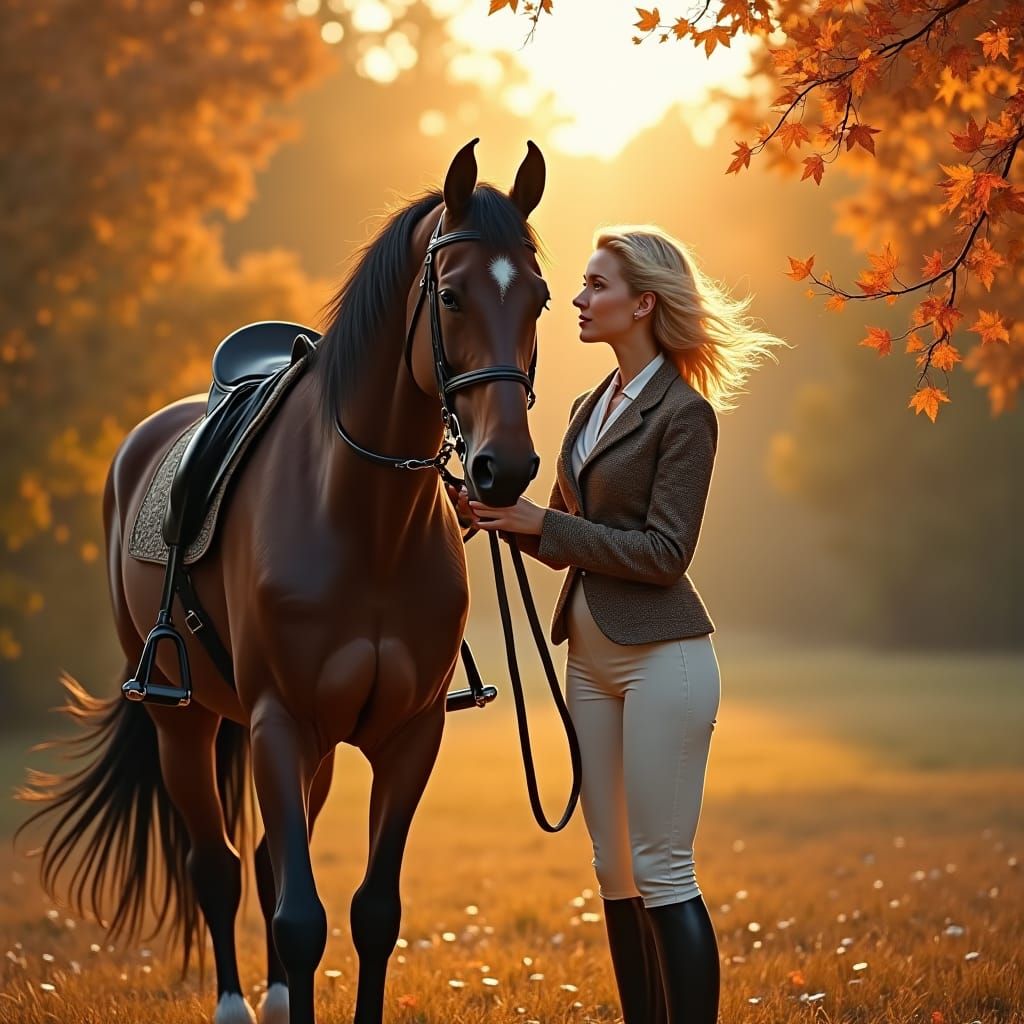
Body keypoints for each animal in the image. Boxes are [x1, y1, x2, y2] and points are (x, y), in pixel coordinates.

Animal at [19, 139, 550, 1024]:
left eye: (540, 299)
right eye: (450, 295)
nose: (502, 468)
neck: (365, 522)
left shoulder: (408, 737)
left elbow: (372, 913)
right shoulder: (278, 722)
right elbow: (300, 916)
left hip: (318, 748)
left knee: (267, 858)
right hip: (185, 724)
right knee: (218, 865)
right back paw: (237, 1003)